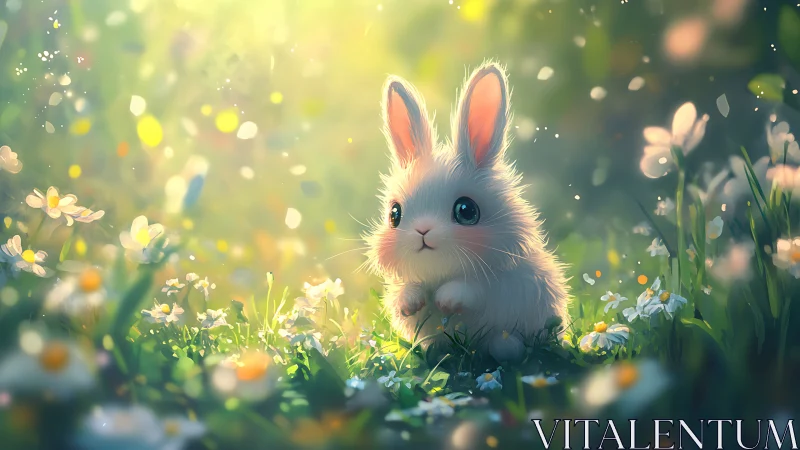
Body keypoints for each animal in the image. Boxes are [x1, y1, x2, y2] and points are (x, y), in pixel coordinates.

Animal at [364, 61, 571, 364]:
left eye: (466, 210)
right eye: (394, 214)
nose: (422, 231)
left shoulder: (497, 283)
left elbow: (473, 290)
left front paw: (446, 300)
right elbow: (404, 290)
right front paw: (411, 302)